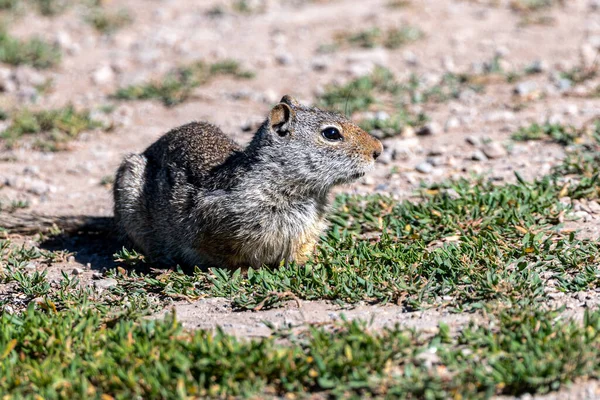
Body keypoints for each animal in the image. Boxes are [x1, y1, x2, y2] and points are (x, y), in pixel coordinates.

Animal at [112, 95, 382, 268]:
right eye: (331, 133)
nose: (378, 150)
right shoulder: (214, 230)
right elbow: (228, 259)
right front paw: (243, 272)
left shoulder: (306, 233)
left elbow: (300, 253)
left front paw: (310, 266)